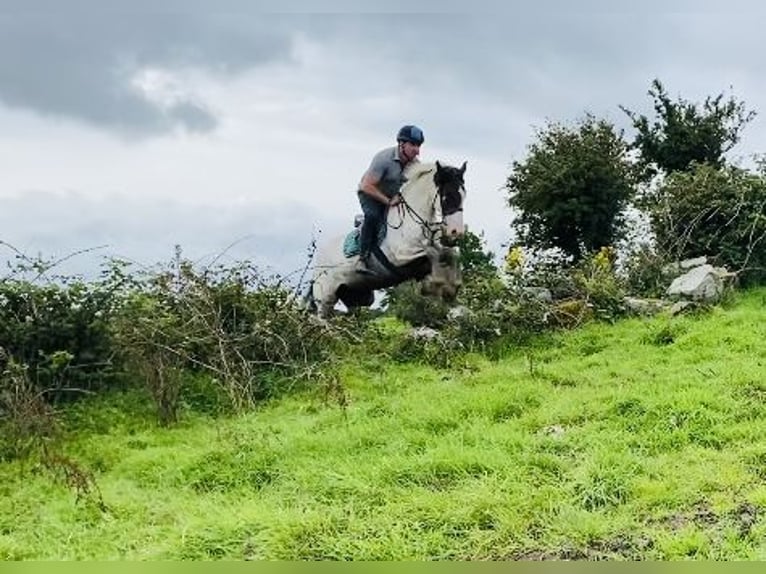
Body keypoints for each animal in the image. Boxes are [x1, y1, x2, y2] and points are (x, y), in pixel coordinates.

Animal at [308, 160, 468, 318]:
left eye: (464, 195)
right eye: (447, 196)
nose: (456, 232)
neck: (413, 220)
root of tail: (317, 261)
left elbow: (450, 254)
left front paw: (452, 287)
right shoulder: (401, 256)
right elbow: (433, 255)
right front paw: (437, 285)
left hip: (355, 296)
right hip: (325, 296)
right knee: (322, 317)